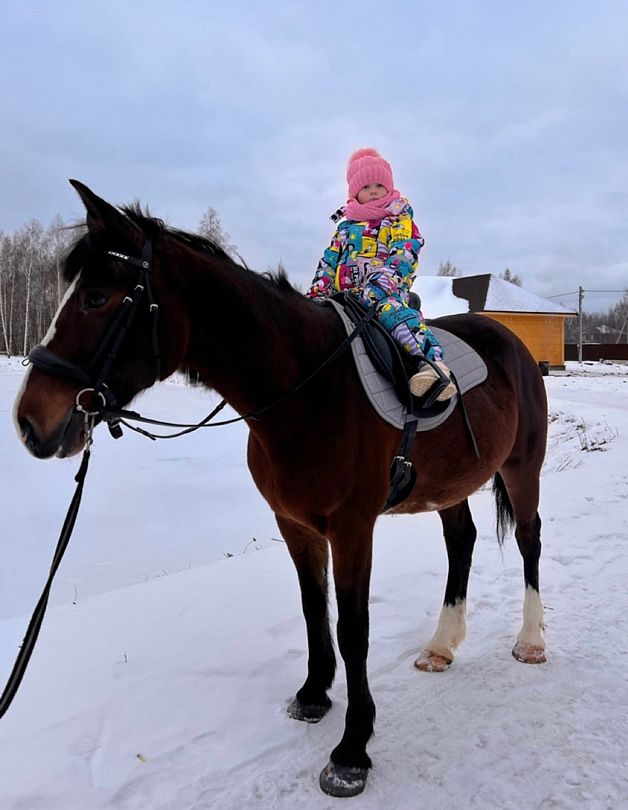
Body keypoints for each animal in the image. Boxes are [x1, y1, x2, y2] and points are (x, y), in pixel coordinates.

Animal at [14, 181, 548, 798]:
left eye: (97, 298)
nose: (29, 421)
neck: (306, 391)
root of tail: (512, 342)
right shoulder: (294, 524)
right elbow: (314, 608)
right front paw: (314, 696)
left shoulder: (352, 528)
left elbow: (353, 629)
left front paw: (352, 749)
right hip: (450, 486)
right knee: (461, 542)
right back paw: (441, 646)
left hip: (523, 468)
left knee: (530, 540)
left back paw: (531, 640)